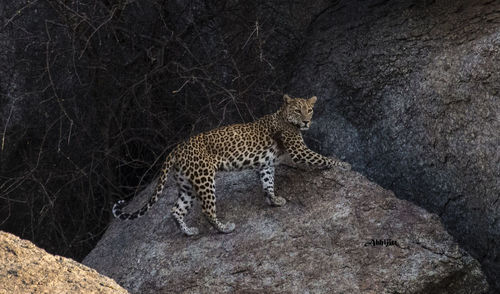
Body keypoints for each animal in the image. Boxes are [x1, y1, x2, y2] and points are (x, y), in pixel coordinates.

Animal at [112, 94, 352, 237]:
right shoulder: (299, 151)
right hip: (204, 178)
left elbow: (268, 183)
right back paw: (225, 228)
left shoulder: (266, 164)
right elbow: (322, 158)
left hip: (187, 185)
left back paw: (189, 231)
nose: (306, 121)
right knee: (207, 209)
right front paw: (343, 165)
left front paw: (274, 200)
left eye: (309, 110)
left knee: (175, 210)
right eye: (297, 110)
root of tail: (176, 148)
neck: (283, 115)